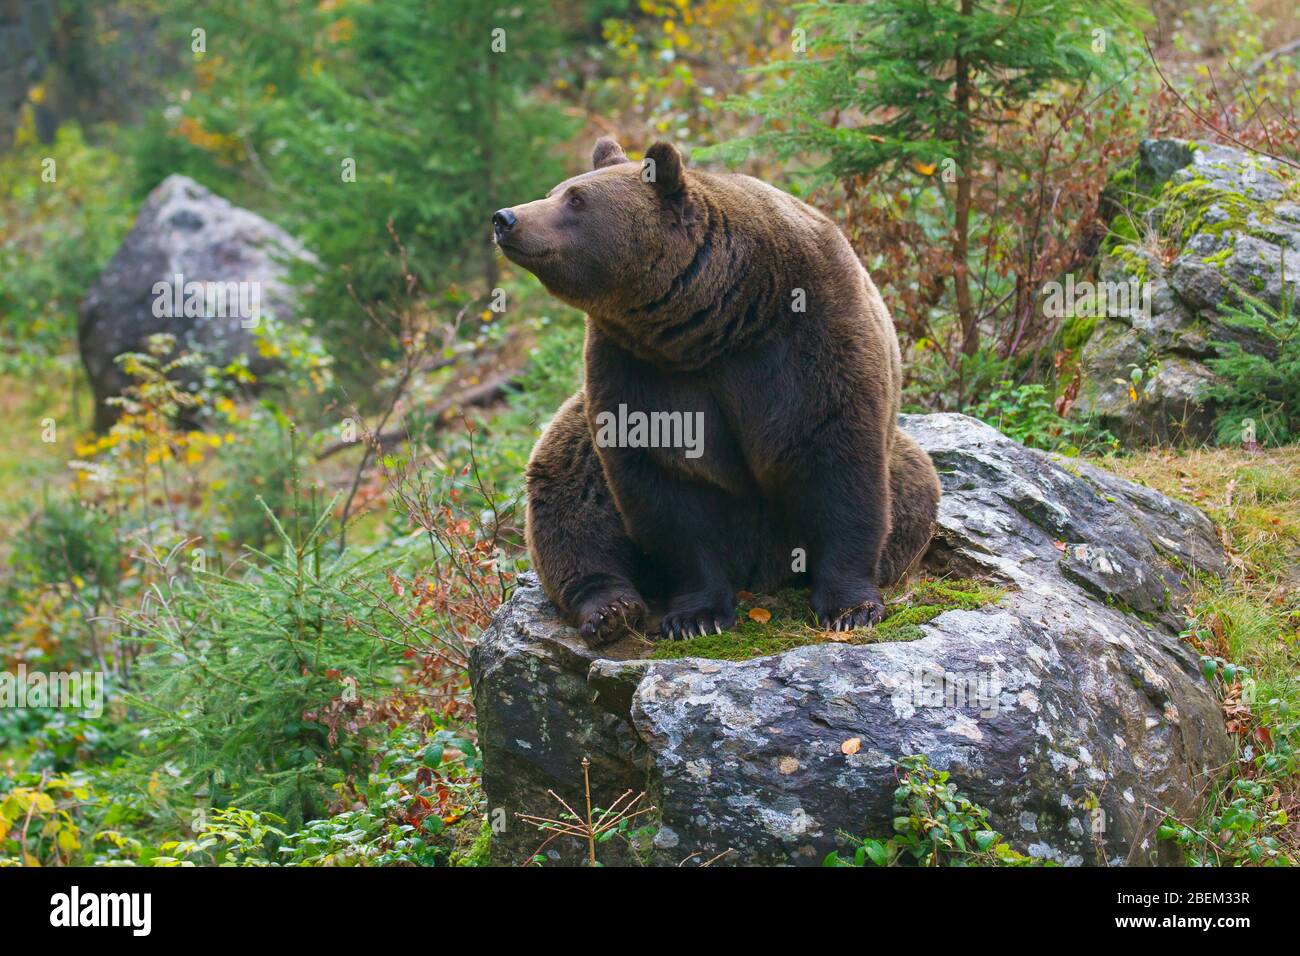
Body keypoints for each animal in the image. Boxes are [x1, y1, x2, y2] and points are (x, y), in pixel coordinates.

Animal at [494, 137, 941, 645]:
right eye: (556, 191)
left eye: (576, 200)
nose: (506, 218)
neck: (715, 319)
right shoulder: (640, 369)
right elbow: (673, 489)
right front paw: (695, 616)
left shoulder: (811, 339)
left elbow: (839, 462)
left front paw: (850, 607)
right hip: (579, 431)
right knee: (569, 496)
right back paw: (610, 609)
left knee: (913, 487)